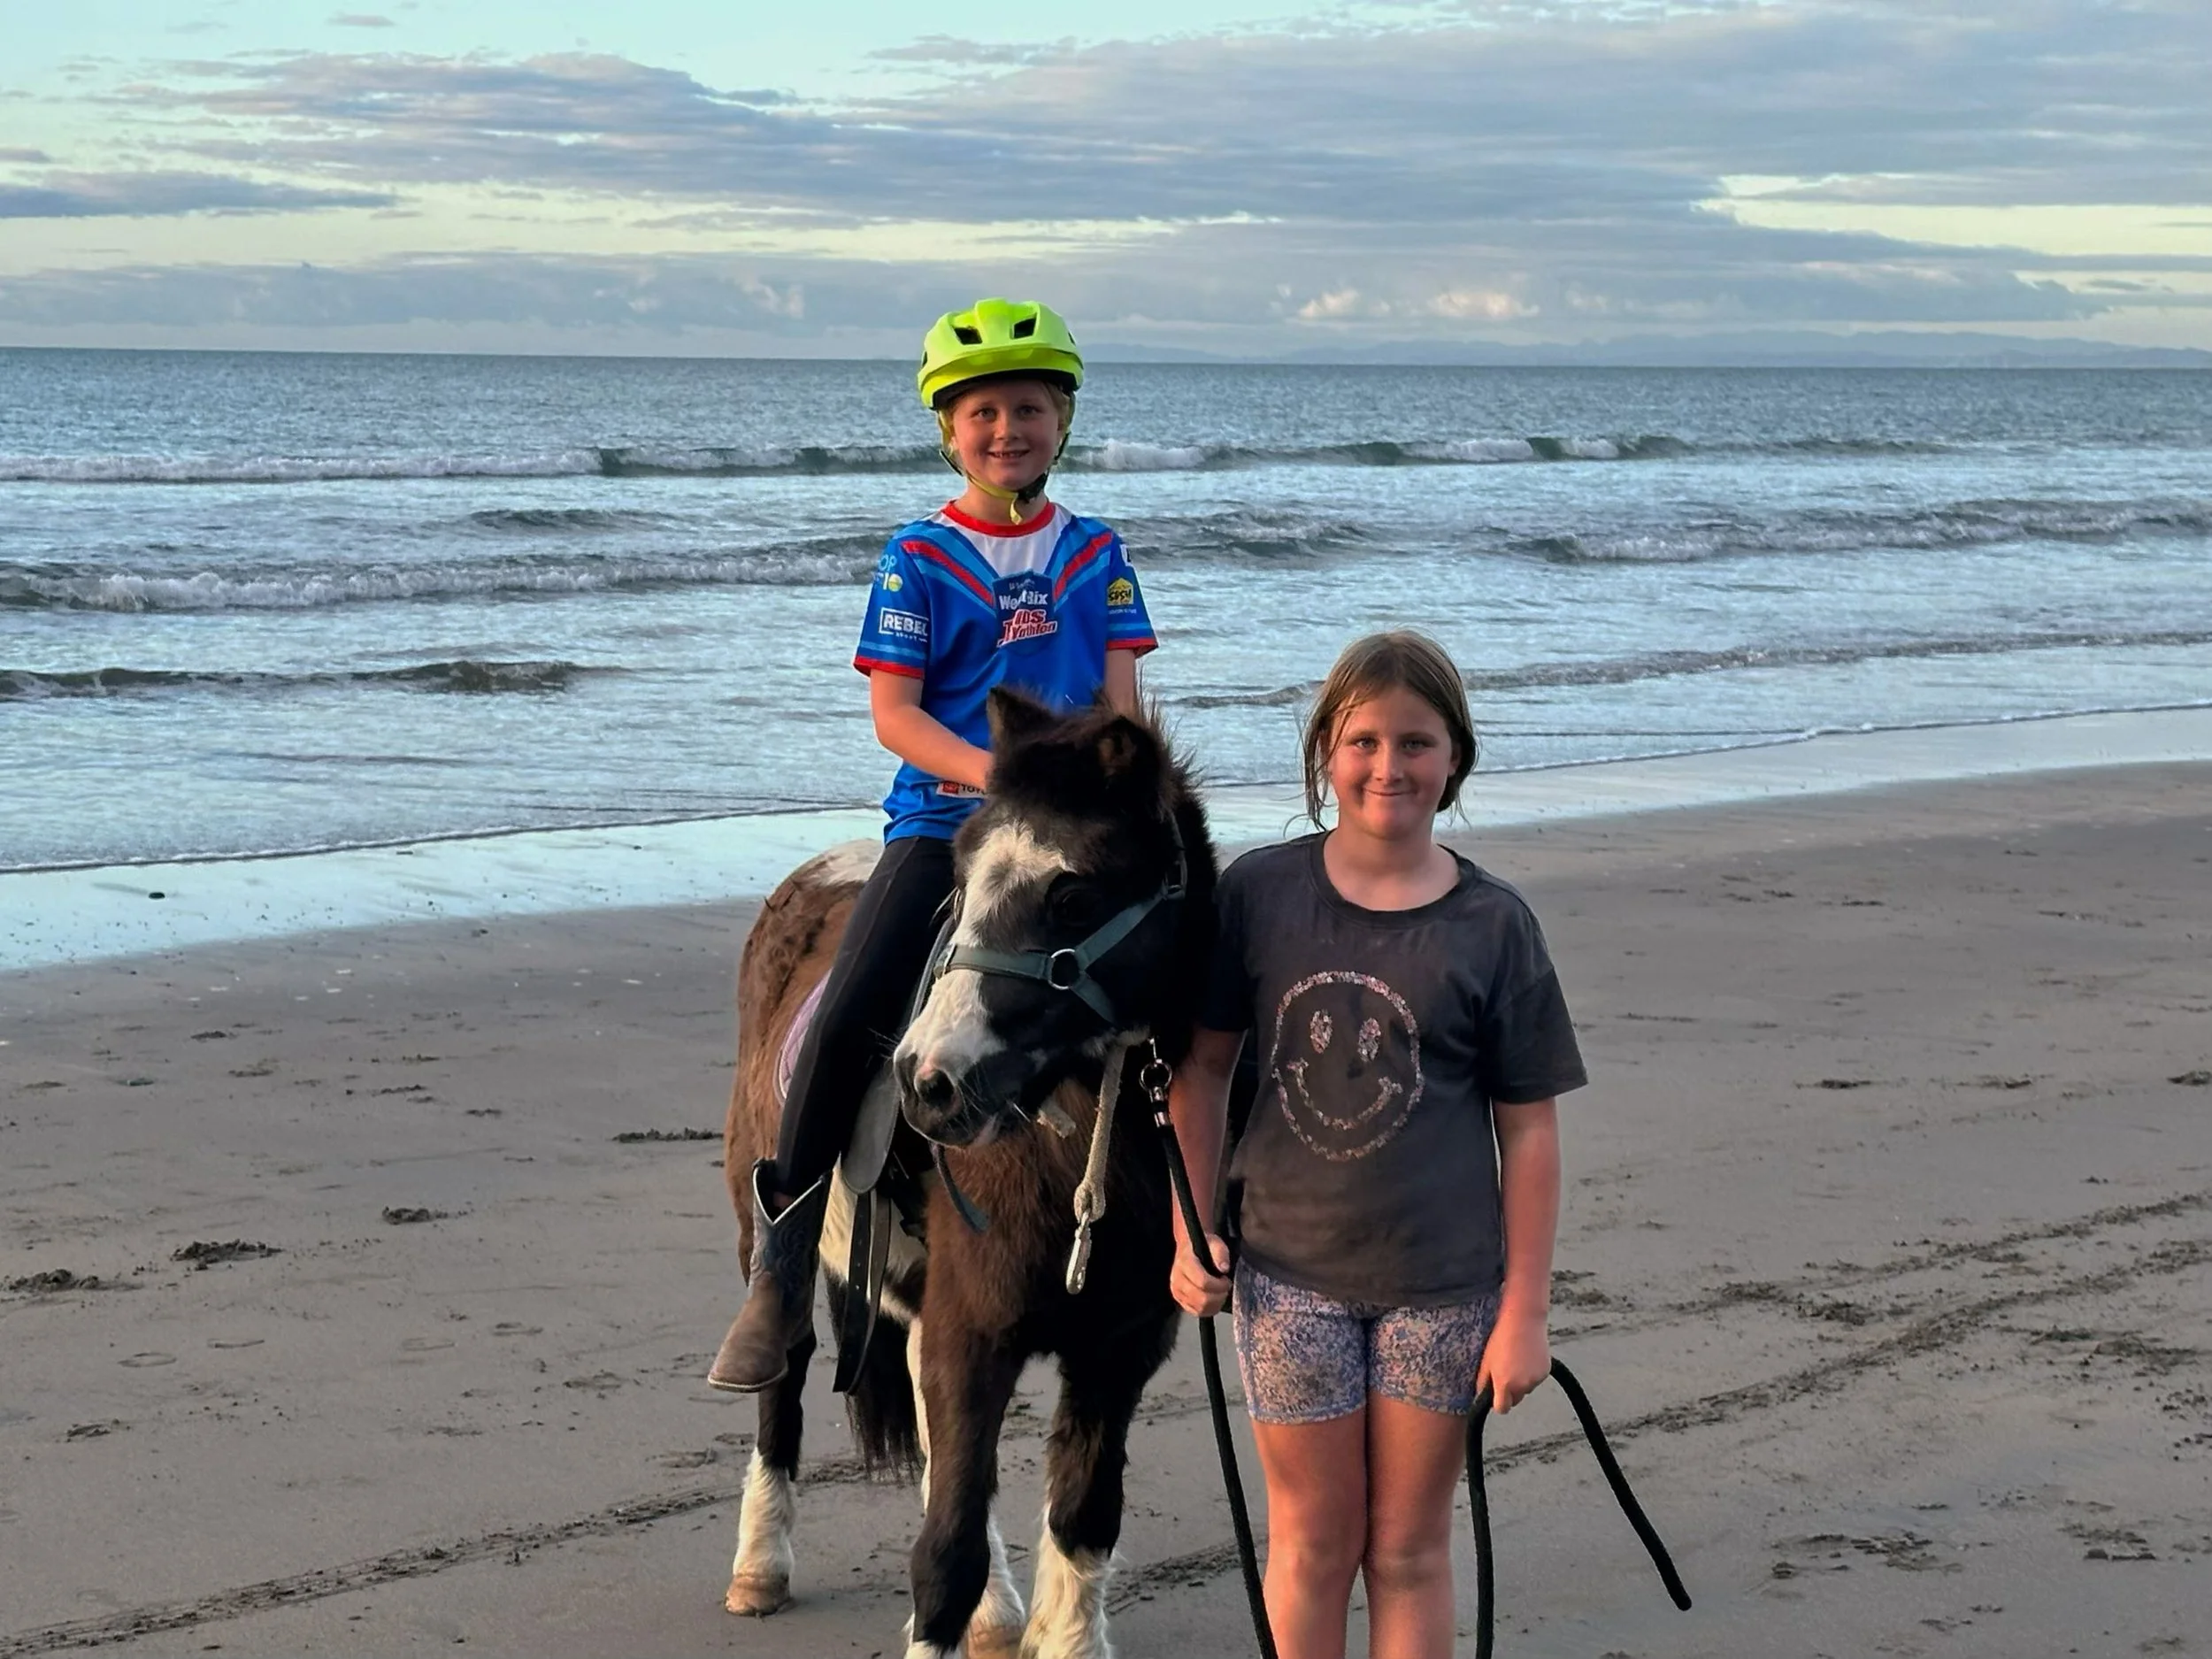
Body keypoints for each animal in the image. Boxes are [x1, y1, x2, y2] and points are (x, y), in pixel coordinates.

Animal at [718, 687, 1218, 1658]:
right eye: (960, 881)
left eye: (1071, 894)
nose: (926, 1081)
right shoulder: (973, 1328)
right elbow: (943, 1550)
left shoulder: (1118, 1347)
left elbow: (1083, 1516)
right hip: (766, 1239)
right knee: (783, 1374)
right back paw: (759, 1565)